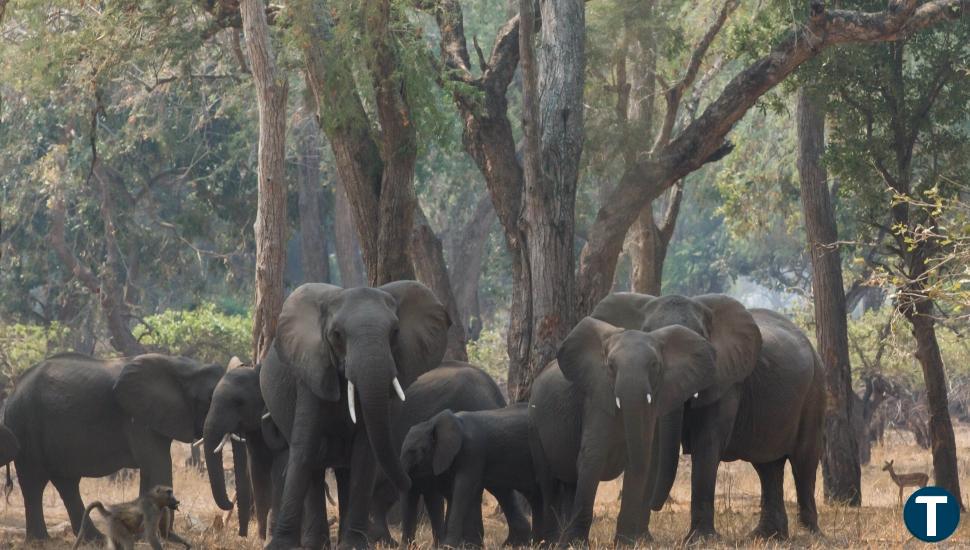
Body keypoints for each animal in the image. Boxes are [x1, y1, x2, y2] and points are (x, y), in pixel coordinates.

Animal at [4, 352, 223, 540]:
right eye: (208, 400)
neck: (184, 367)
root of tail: (13, 392)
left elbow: (150, 470)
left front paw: (141, 535)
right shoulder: (138, 418)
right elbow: (157, 465)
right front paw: (165, 537)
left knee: (66, 483)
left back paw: (95, 540)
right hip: (25, 424)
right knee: (34, 481)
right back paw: (41, 540)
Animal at [260, 282, 452, 548]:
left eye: (395, 332)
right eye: (337, 334)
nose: (410, 480)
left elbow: (365, 452)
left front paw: (354, 544)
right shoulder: (311, 374)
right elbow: (305, 447)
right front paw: (282, 546)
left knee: (345, 471)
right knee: (316, 466)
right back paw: (316, 544)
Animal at [398, 404, 540, 548]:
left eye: (415, 451)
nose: (411, 546)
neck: (433, 422)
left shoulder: (472, 452)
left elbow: (463, 490)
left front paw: (449, 546)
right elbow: (460, 493)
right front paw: (468, 546)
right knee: (504, 491)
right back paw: (515, 544)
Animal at [524, 316, 716, 544]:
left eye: (654, 365)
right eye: (610, 366)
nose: (655, 506)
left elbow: (639, 461)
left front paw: (625, 543)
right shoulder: (597, 399)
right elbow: (592, 459)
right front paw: (577, 544)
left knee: (570, 483)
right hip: (534, 426)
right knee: (548, 482)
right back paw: (551, 541)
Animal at [588, 296, 824, 540]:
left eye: (699, 346)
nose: (655, 505)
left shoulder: (725, 379)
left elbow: (707, 443)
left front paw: (699, 540)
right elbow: (651, 444)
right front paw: (637, 540)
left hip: (815, 389)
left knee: (803, 459)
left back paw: (810, 535)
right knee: (767, 465)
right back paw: (766, 536)